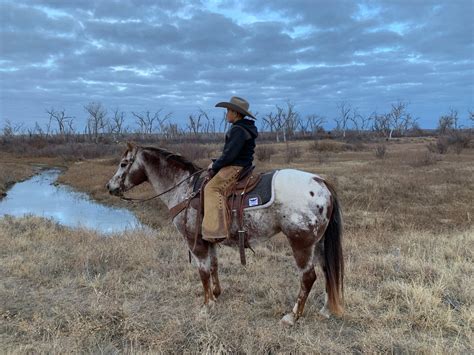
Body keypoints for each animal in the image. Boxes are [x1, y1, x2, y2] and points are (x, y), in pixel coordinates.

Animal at [106, 143, 344, 326]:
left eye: (124, 163)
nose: (110, 187)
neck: (184, 190)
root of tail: (321, 183)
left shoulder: (195, 243)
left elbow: (202, 272)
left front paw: (206, 305)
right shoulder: (209, 241)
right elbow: (213, 266)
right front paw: (217, 294)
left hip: (301, 243)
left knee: (308, 277)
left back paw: (292, 317)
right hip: (319, 243)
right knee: (327, 272)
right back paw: (325, 310)